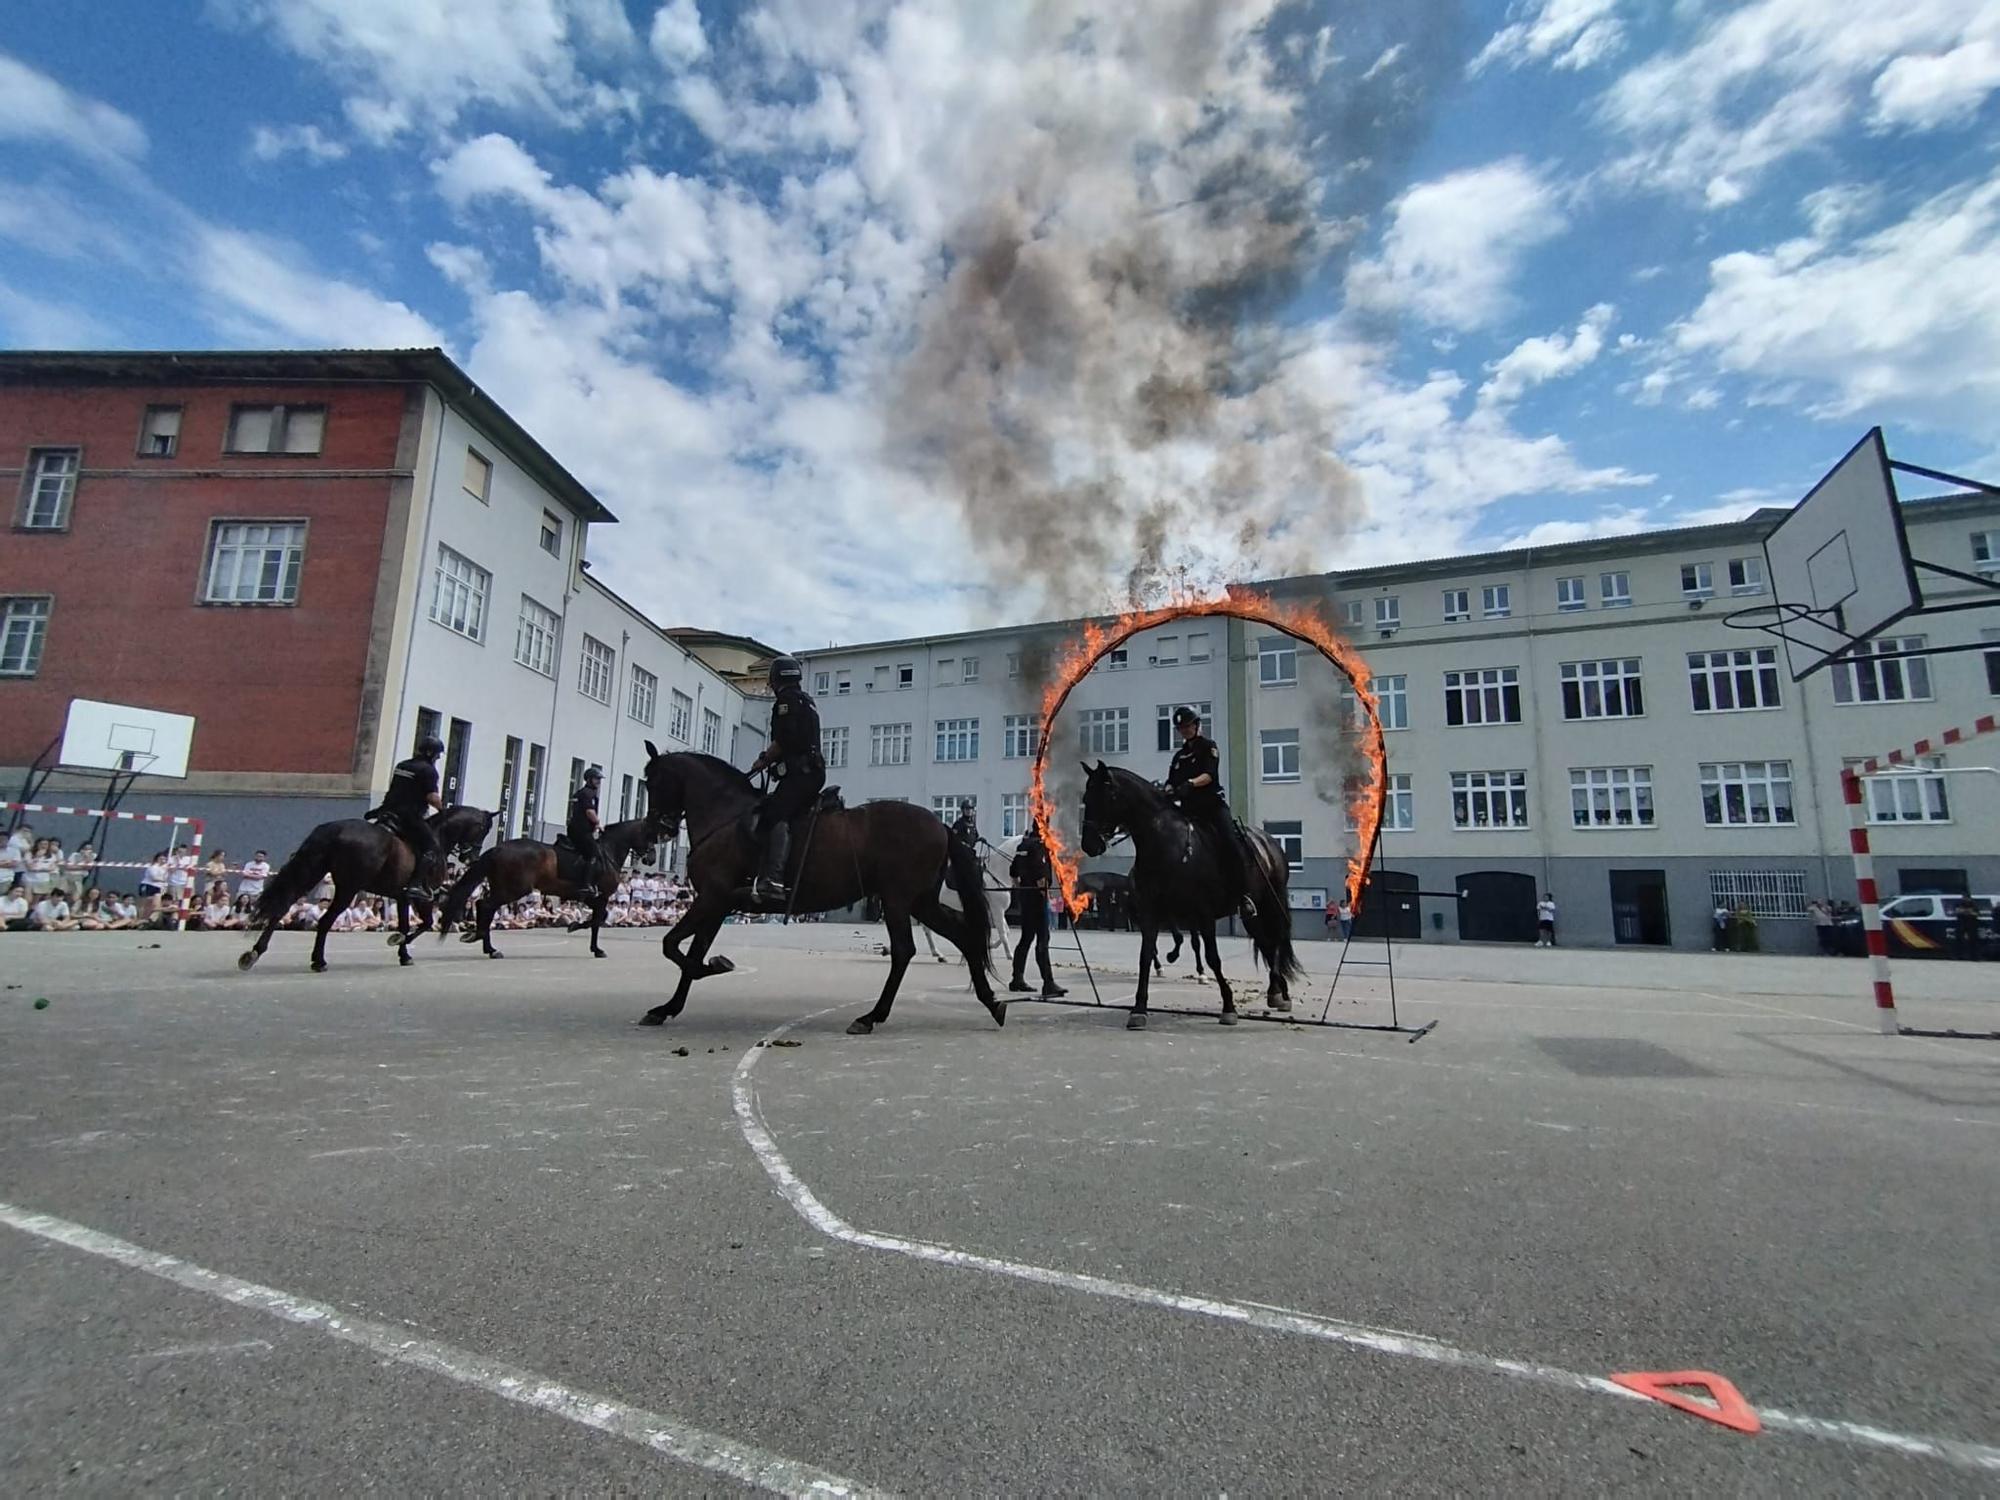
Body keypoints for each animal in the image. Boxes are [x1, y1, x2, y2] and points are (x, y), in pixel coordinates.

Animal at [237, 812, 496, 976]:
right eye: (483, 829)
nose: (472, 857)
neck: (438, 837)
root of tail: (335, 829)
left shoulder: (402, 896)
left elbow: (407, 923)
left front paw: (402, 951)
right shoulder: (423, 895)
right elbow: (425, 923)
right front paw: (400, 943)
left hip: (312, 872)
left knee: (282, 907)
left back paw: (255, 952)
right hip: (348, 886)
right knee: (325, 921)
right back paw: (319, 961)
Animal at [436, 816, 656, 956]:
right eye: (649, 834)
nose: (652, 859)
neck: (607, 853)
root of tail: (498, 848)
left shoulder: (593, 899)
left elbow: (598, 918)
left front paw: (577, 927)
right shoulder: (601, 897)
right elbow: (597, 921)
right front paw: (595, 947)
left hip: (502, 887)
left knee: (484, 905)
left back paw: (481, 941)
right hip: (514, 889)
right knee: (487, 906)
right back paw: (487, 946)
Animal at [640, 748, 1000, 1040]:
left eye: (652, 782)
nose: (656, 829)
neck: (726, 818)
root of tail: (941, 825)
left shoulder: (711, 899)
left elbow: (673, 946)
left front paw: (710, 969)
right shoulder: (716, 904)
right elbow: (691, 950)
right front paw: (669, 1006)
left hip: (897, 900)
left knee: (903, 950)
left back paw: (871, 1017)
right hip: (920, 902)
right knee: (962, 936)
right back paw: (991, 1002)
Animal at [1088, 768, 1304, 1032]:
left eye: (1102, 797)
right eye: (1085, 798)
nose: (1088, 844)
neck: (1167, 845)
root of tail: (1268, 841)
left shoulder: (1203, 915)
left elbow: (1212, 958)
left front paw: (1228, 1007)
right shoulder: (1152, 914)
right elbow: (1146, 956)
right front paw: (1139, 1009)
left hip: (1270, 902)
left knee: (1276, 940)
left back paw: (1278, 992)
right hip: (1252, 914)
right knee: (1266, 942)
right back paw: (1277, 992)